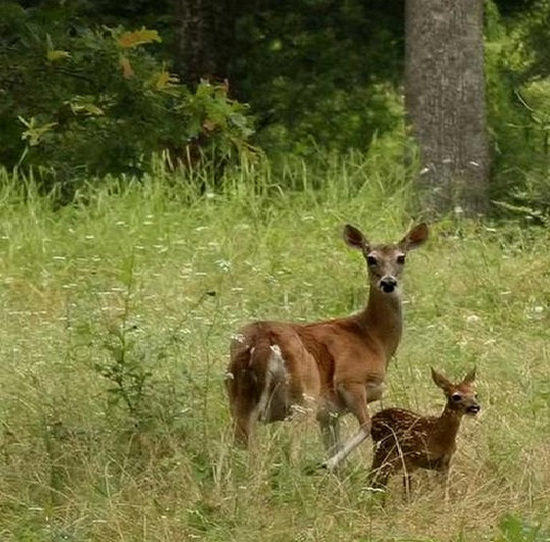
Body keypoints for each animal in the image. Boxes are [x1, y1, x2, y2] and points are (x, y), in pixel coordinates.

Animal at [226, 223, 430, 470]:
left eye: (401, 257)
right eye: (371, 258)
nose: (388, 283)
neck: (374, 339)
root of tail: (264, 341)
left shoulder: (329, 414)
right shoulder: (351, 380)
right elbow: (366, 426)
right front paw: (327, 464)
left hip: (238, 397)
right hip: (303, 397)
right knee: (292, 452)